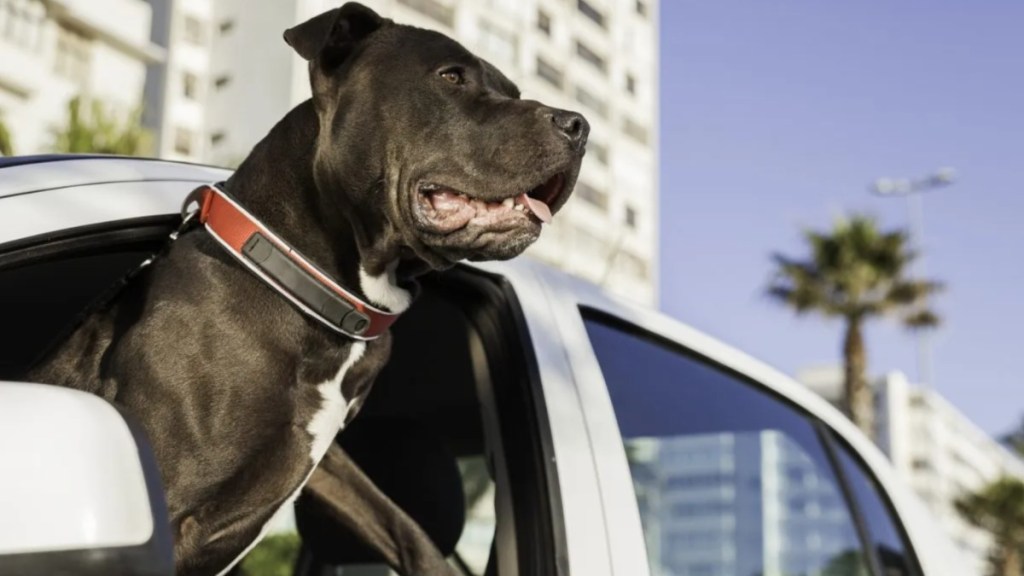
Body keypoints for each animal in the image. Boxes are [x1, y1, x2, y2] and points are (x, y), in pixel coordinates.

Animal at [24, 4, 589, 573]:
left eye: (513, 91)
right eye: (451, 77)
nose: (578, 125)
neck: (305, 284)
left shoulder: (323, 453)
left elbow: (400, 523)